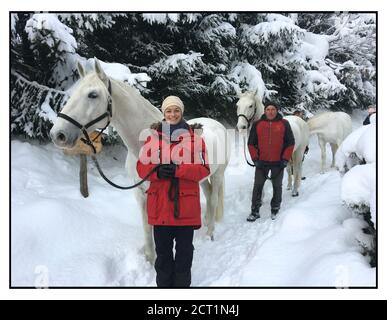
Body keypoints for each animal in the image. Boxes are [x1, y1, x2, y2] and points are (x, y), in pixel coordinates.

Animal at [49, 58, 229, 264]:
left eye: (92, 94)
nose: (58, 134)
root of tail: (217, 124)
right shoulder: (140, 193)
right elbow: (146, 226)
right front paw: (150, 260)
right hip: (201, 179)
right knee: (208, 194)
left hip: (218, 174)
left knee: (213, 199)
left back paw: (209, 234)